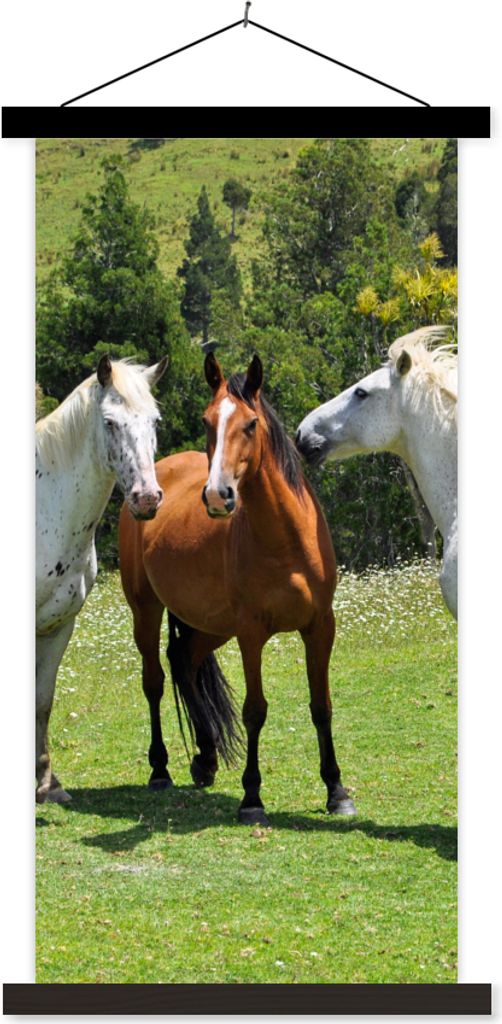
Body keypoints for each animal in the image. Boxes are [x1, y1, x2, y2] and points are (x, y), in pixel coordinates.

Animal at [36, 353, 167, 803]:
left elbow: (42, 701)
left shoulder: (58, 626)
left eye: (155, 421)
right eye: (109, 422)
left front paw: (47, 783)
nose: (146, 498)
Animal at [119, 353, 356, 824]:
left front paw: (336, 791)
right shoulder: (251, 634)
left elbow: (321, 706)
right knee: (154, 681)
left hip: (212, 625)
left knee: (184, 661)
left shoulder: (321, 626)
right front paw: (252, 798)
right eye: (207, 421)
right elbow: (255, 711)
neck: (286, 540)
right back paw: (160, 769)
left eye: (250, 424)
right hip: (146, 610)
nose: (217, 496)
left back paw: (206, 758)